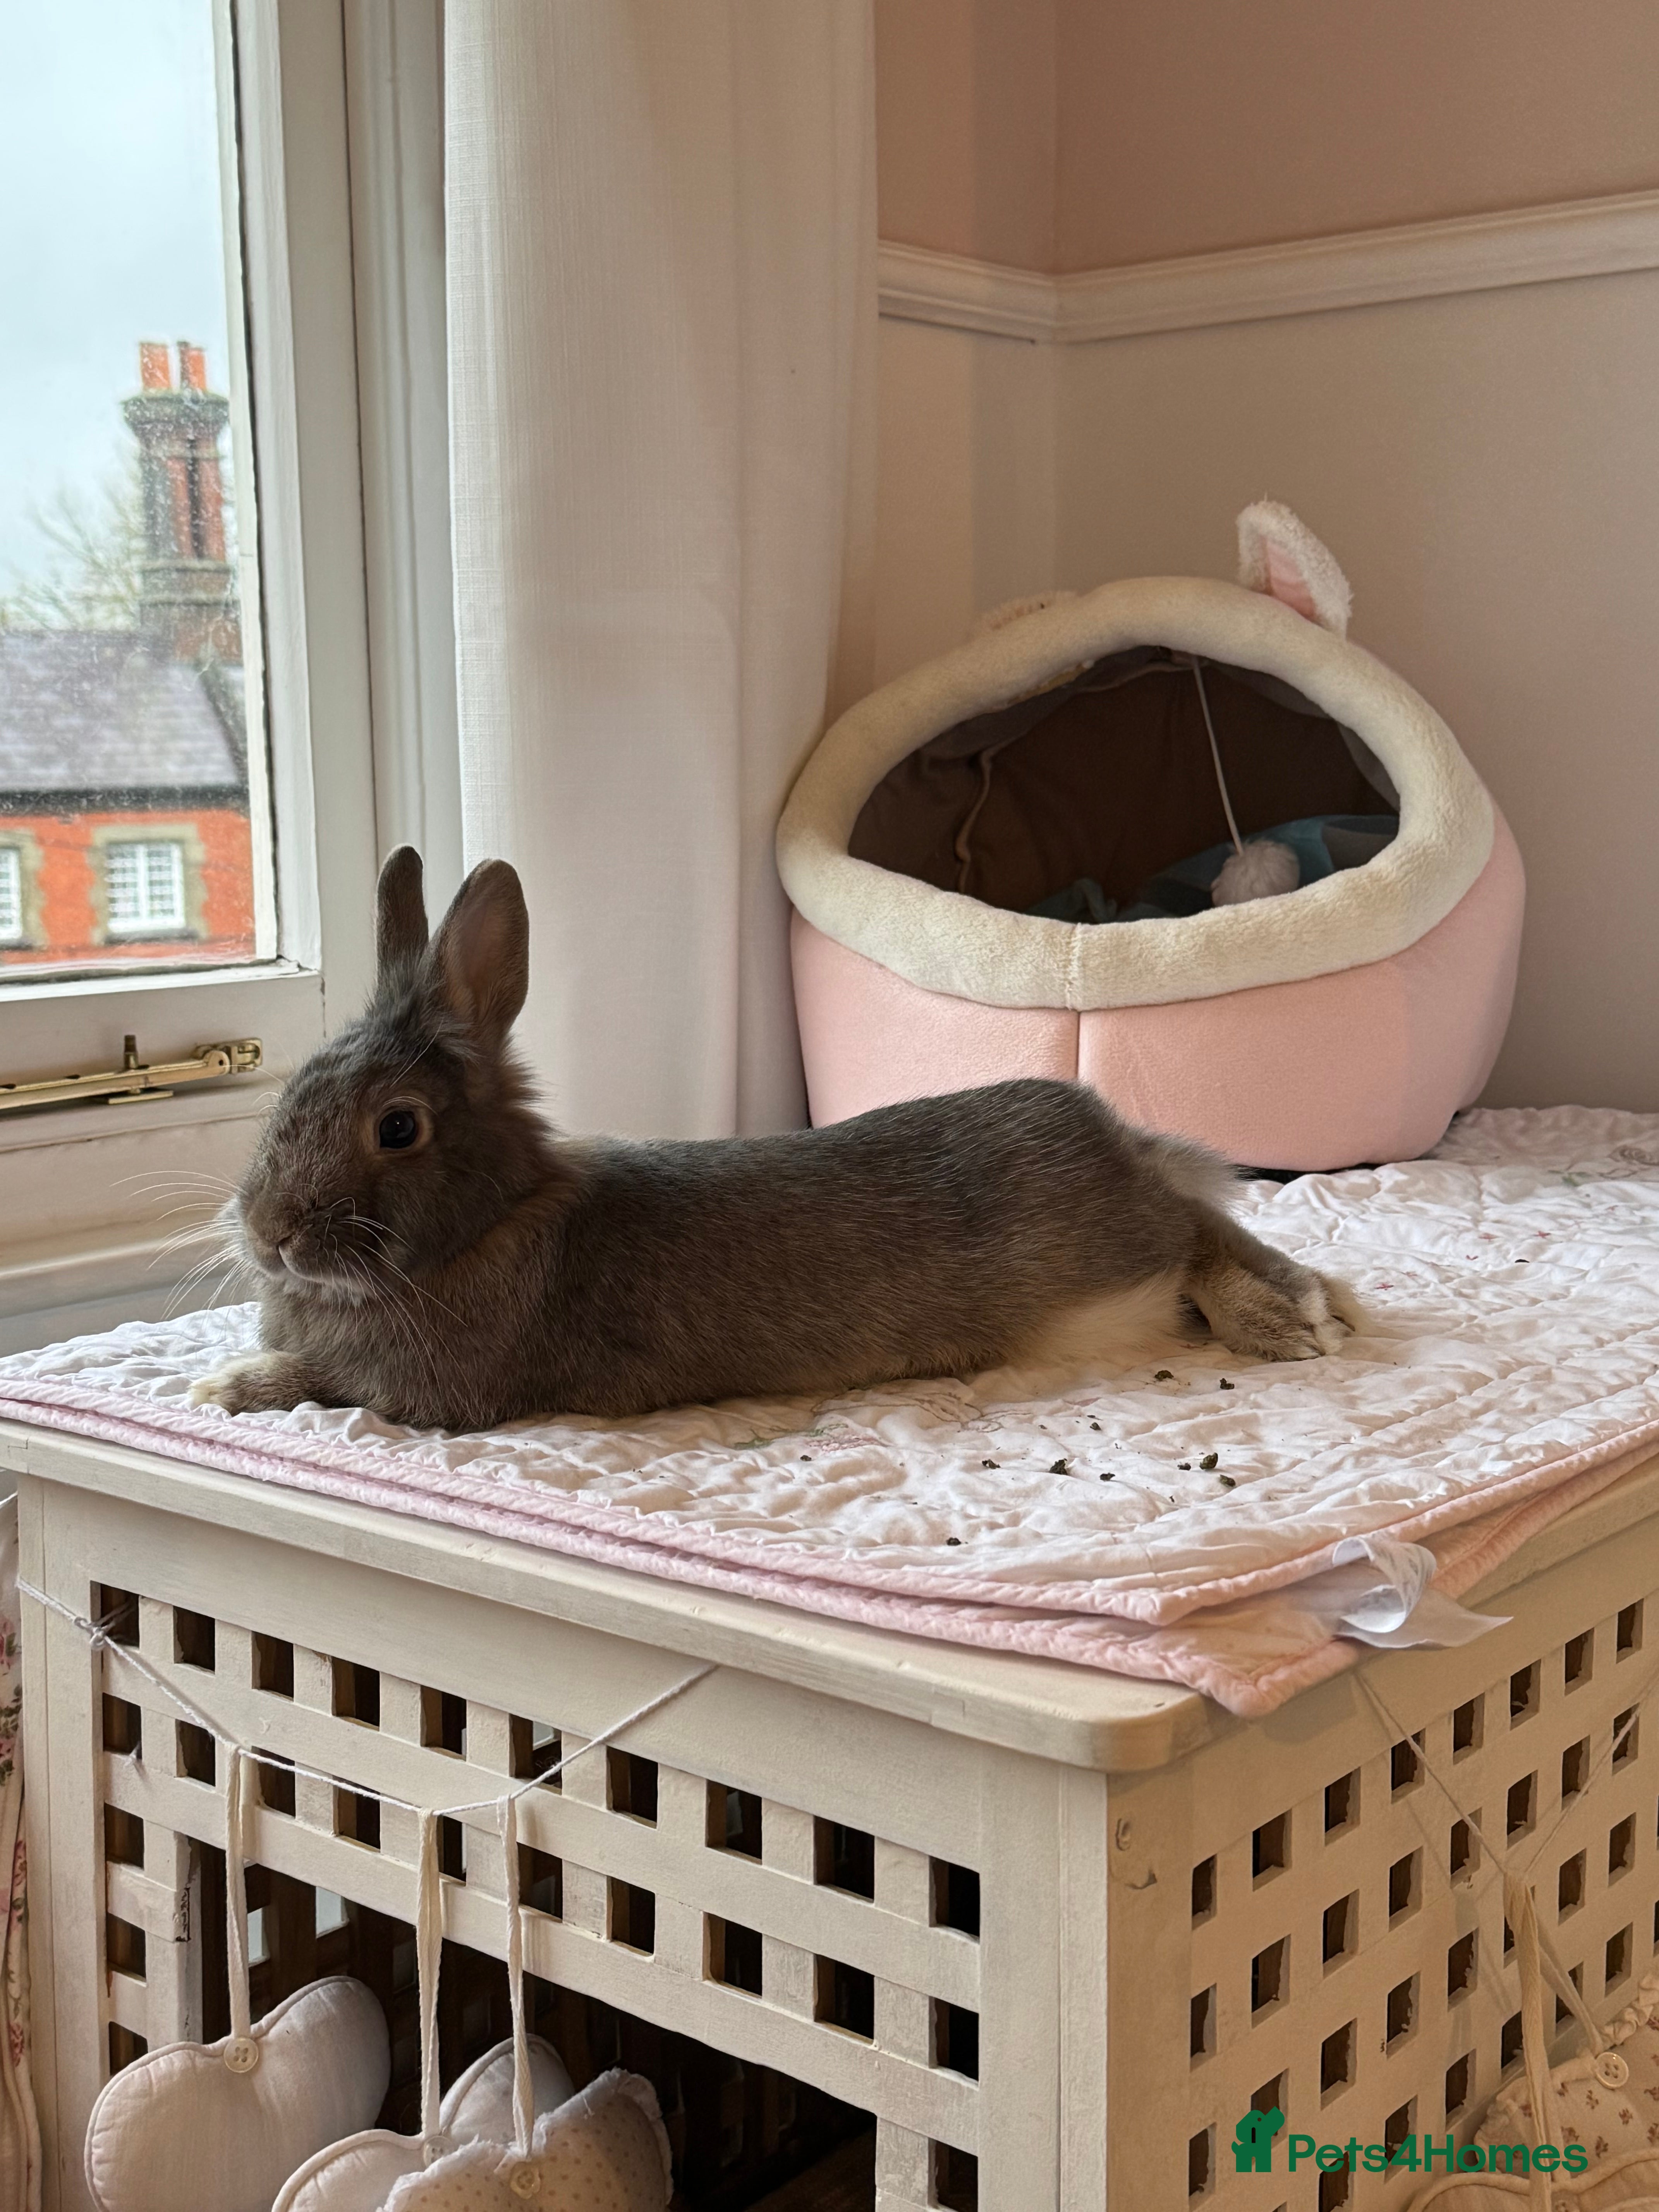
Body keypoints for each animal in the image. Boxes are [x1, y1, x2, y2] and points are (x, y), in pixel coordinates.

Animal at [189, 848, 1354, 1430]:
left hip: (1104, 1250)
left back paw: (1290, 1318)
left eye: (398, 1127)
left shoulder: (436, 1395)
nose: (265, 1233)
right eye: (296, 1087)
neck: (492, 1221)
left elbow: (330, 1385)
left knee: (1199, 1235)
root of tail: (1112, 1132)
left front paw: (225, 1389)